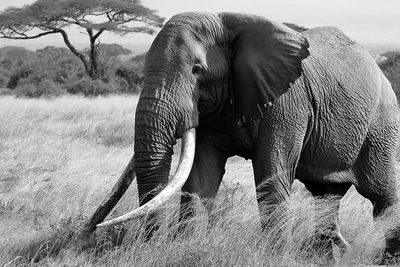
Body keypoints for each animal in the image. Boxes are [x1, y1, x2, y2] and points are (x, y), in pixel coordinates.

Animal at [83, 12, 398, 260]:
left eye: (197, 69)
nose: (90, 229)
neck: (226, 24)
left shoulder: (286, 103)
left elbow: (271, 175)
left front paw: (274, 258)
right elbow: (201, 178)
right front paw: (185, 248)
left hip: (381, 125)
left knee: (381, 194)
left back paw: (385, 258)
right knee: (325, 197)